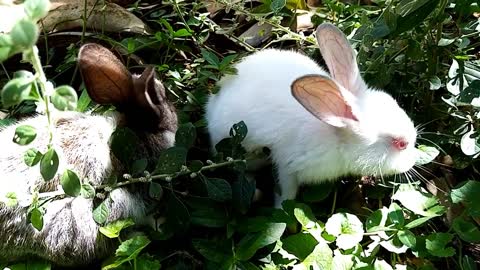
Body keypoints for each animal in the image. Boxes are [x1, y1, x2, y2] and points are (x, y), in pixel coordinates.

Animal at [206, 23, 416, 207]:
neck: (335, 133)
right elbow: (286, 194)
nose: (413, 161)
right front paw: (282, 213)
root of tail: (212, 102)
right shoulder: (287, 167)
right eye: (401, 144)